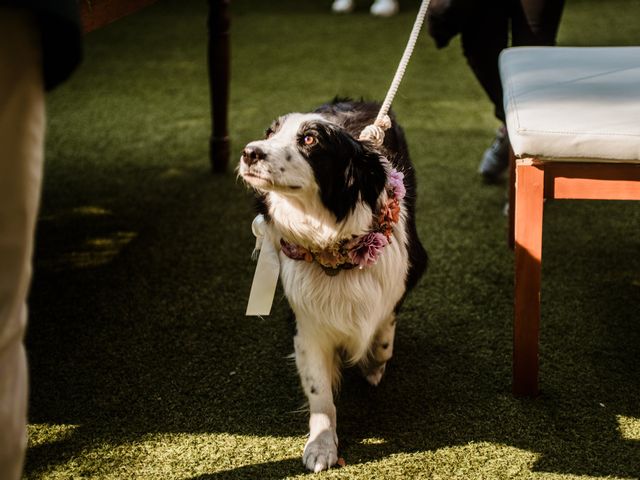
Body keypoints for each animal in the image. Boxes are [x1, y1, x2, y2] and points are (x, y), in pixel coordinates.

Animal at [238, 98, 428, 472]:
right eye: (270, 133)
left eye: (310, 140)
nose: (249, 152)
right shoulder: (306, 324)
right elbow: (319, 392)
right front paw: (322, 445)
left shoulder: (403, 277)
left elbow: (383, 339)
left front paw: (371, 366)